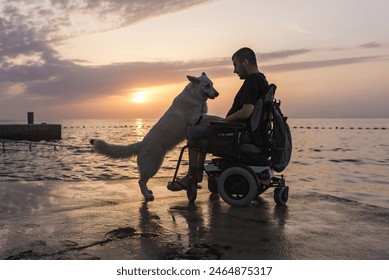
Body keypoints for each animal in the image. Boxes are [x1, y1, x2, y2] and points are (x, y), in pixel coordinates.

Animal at [90, 71, 218, 199]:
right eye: (207, 86)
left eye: (212, 84)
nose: (217, 94)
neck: (194, 96)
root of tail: (141, 144)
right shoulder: (196, 119)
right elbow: (212, 117)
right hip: (153, 166)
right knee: (141, 181)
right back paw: (147, 196)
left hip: (154, 165)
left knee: (143, 181)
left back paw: (148, 192)